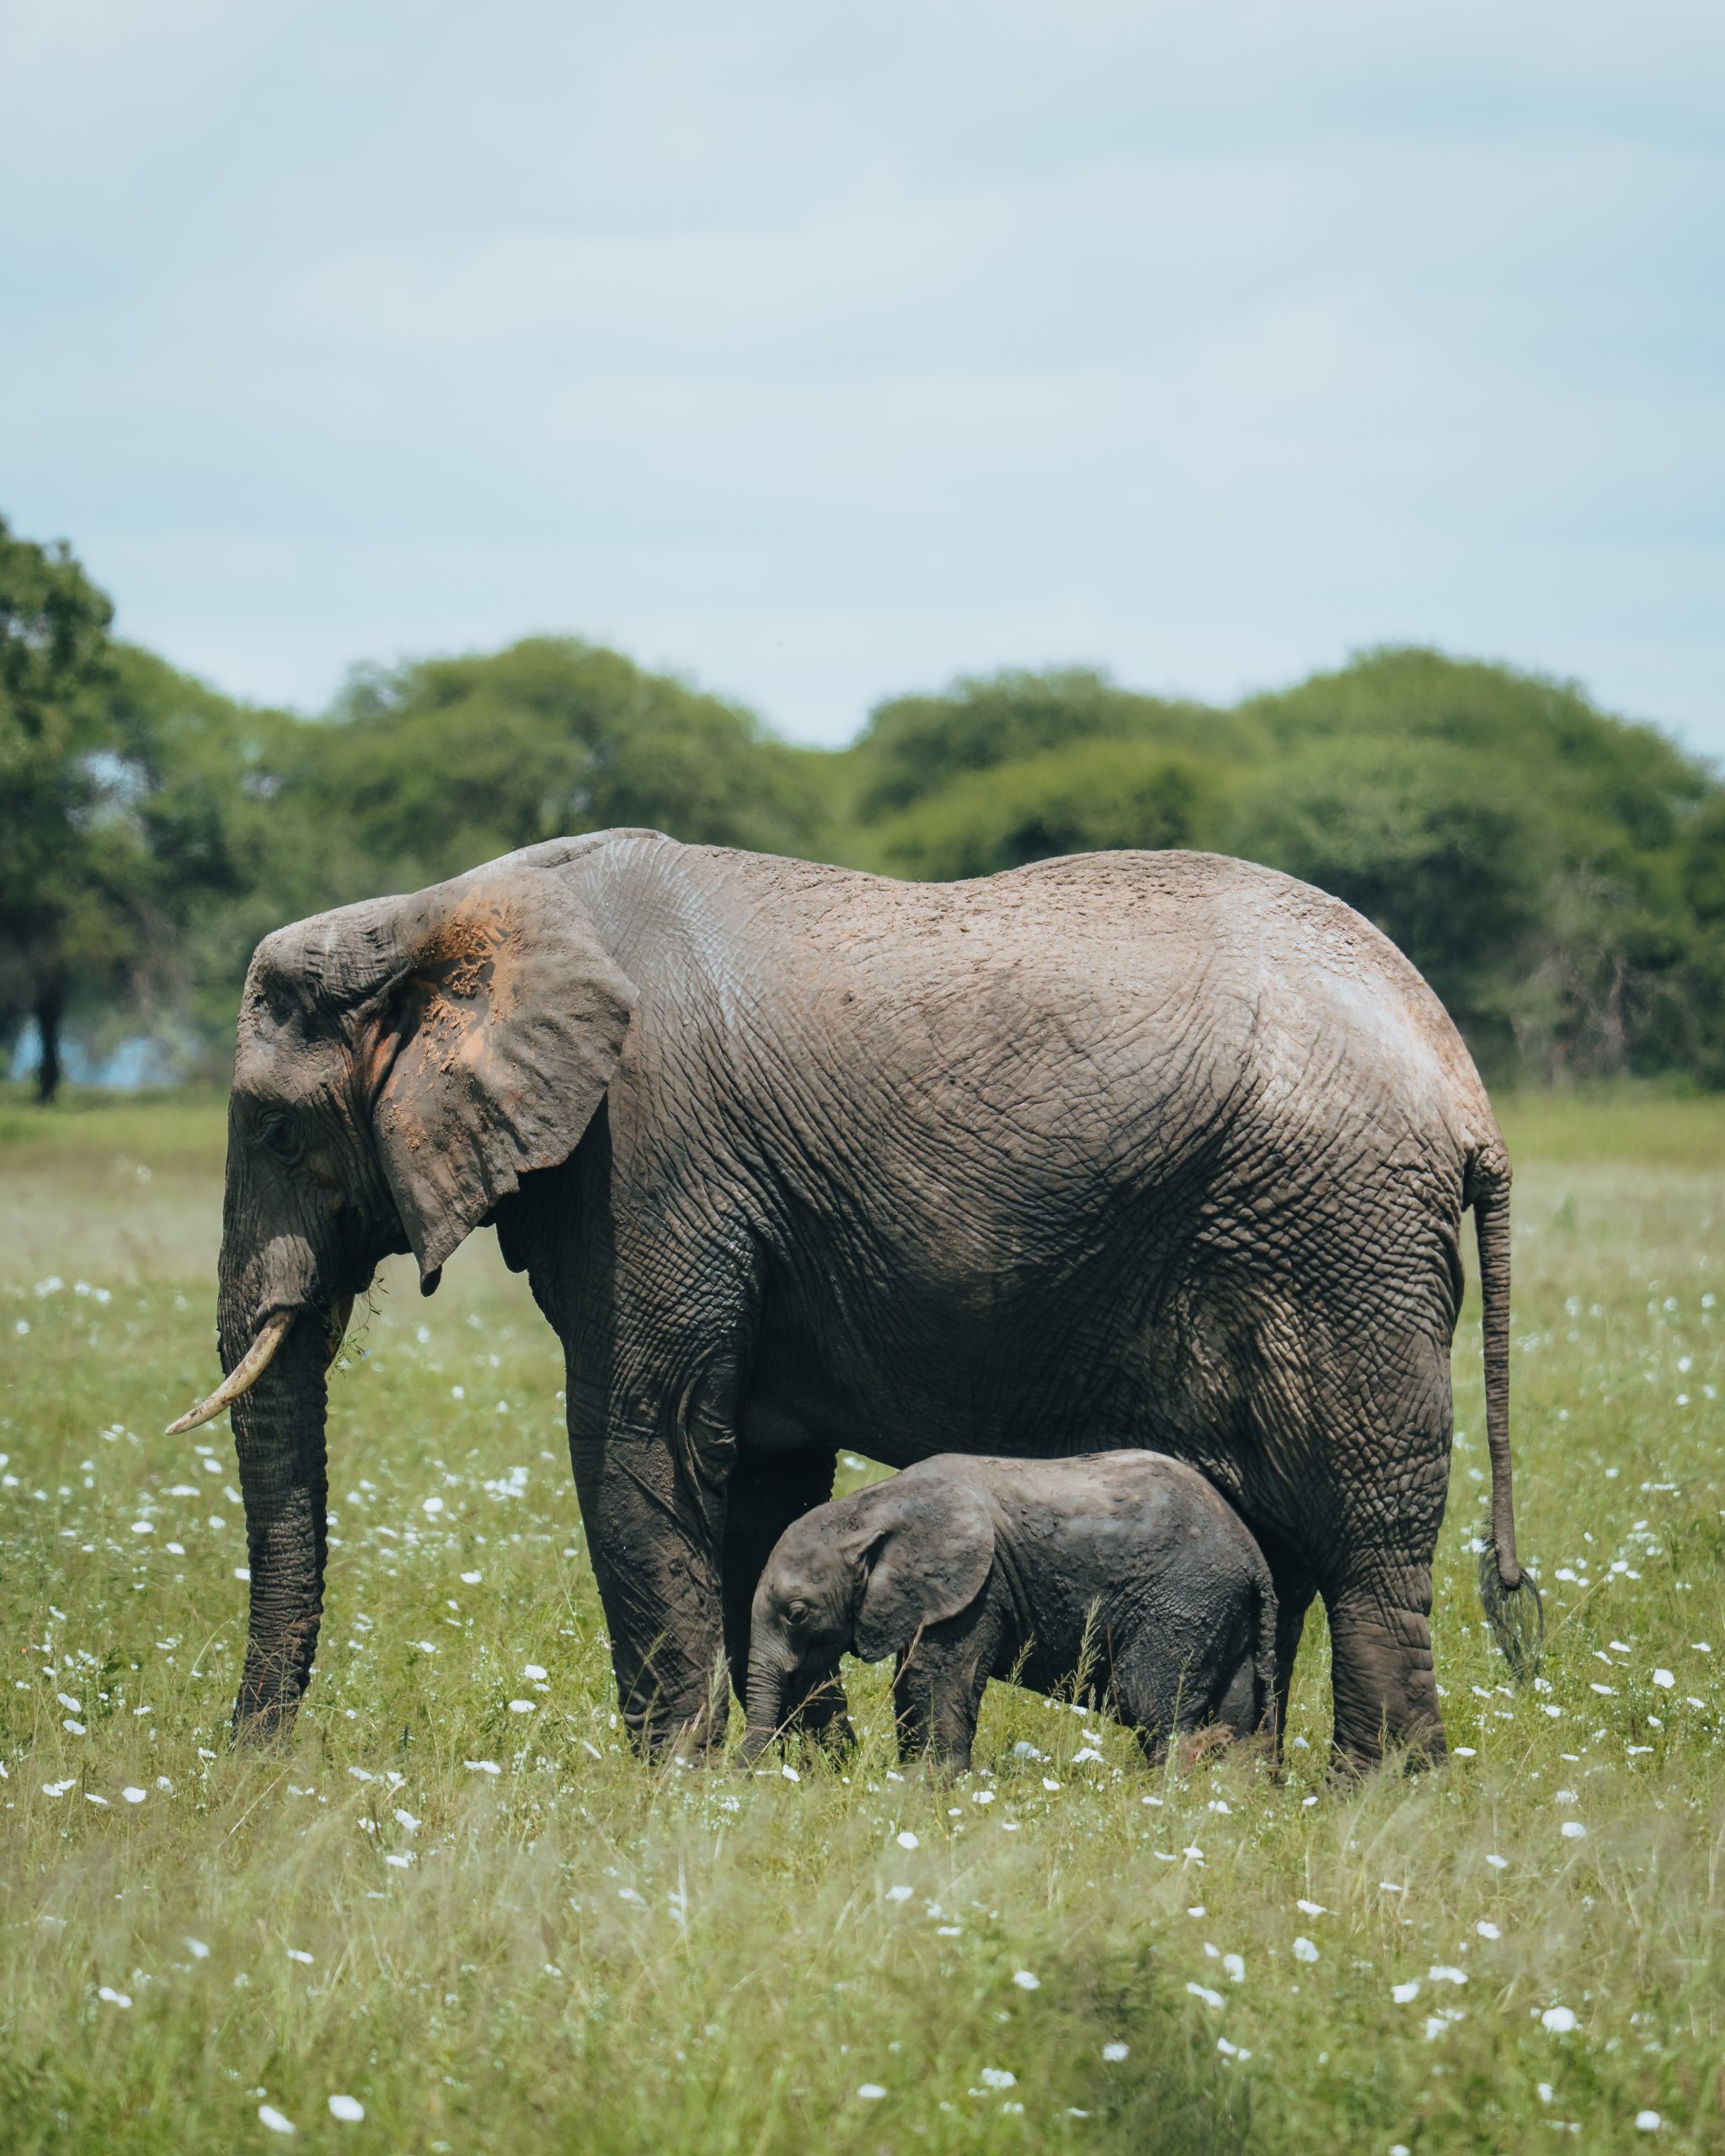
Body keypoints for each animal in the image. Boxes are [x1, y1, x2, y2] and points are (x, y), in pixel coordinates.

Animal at [741, 1449, 1276, 1768]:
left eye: (796, 1613)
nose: (743, 1782)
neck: (871, 1506)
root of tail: (1254, 1557)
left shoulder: (976, 1589)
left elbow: (932, 1682)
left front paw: (926, 1792)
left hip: (1184, 1603)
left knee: (1149, 1701)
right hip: (1225, 1613)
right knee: (1236, 1716)